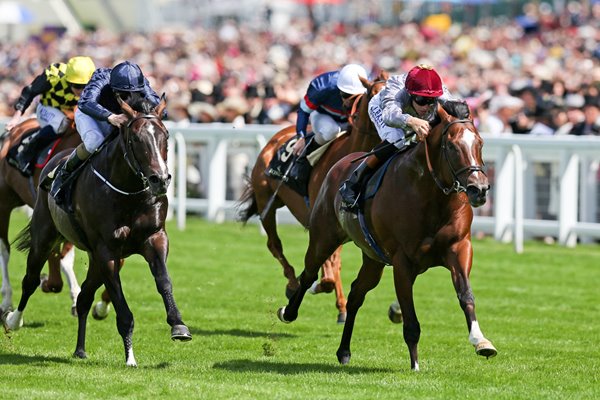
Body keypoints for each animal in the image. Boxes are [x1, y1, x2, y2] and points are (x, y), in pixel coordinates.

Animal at [0, 116, 80, 316]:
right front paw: (47, 282)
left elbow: (65, 259)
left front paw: (76, 297)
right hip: (4, 204)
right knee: (4, 250)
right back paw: (6, 301)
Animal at [239, 70, 390, 324]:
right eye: (375, 94)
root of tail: (278, 136)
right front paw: (309, 285)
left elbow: (333, 266)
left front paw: (339, 305)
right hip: (266, 202)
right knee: (274, 244)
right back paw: (292, 283)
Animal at [278, 101, 500, 370]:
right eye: (452, 146)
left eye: (480, 143)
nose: (479, 189)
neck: (431, 195)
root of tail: (338, 164)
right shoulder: (402, 261)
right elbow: (410, 320)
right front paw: (415, 366)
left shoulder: (459, 247)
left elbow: (465, 295)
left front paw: (481, 341)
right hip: (324, 237)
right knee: (309, 274)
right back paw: (289, 311)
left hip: (373, 259)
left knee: (356, 294)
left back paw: (344, 351)